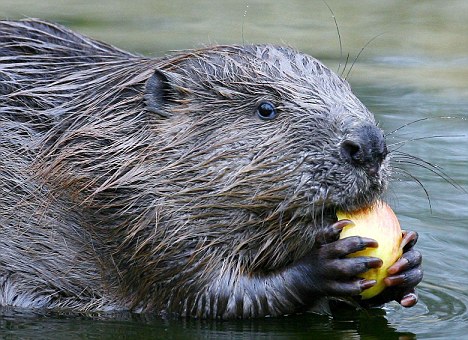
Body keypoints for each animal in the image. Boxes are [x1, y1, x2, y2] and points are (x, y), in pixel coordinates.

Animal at [0, 19, 424, 318]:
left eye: (347, 90)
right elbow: (214, 297)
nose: (369, 145)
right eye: (266, 108)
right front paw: (327, 264)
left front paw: (407, 263)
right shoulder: (138, 218)